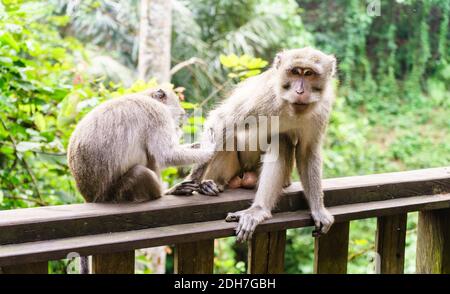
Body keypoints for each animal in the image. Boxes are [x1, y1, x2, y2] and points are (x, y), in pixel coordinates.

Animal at [67, 86, 214, 203]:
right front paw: (210, 150)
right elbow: (167, 155)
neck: (145, 96)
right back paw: (165, 193)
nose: (178, 126)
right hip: (116, 195)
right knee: (141, 172)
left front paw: (198, 145)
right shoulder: (157, 114)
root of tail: (91, 198)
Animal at [169, 47, 338, 241]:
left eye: (309, 74)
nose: (300, 91)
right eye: (295, 72)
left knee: (281, 140)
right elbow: (221, 121)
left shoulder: (321, 109)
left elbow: (307, 152)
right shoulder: (264, 95)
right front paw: (188, 181)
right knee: (229, 133)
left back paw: (259, 209)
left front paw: (318, 210)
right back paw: (211, 185)